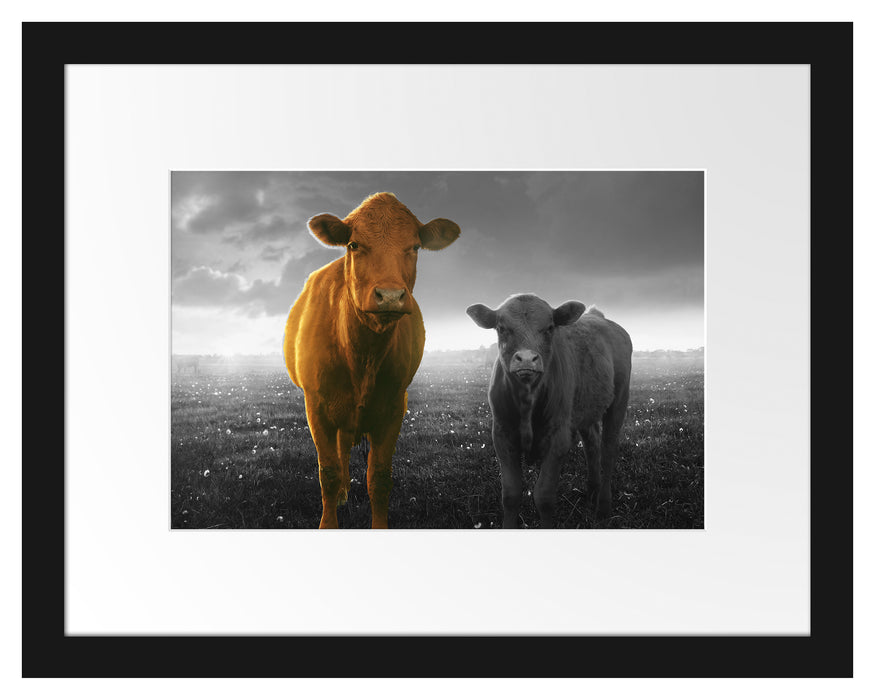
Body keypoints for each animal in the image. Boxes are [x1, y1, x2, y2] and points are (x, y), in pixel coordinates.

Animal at [283, 192, 460, 528]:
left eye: (415, 246)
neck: (362, 356)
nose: (390, 296)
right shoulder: (316, 406)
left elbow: (379, 477)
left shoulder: (394, 406)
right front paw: (329, 521)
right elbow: (327, 473)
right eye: (354, 244)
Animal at [466, 294, 632, 527]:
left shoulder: (558, 439)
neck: (527, 401)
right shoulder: (502, 435)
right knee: (592, 443)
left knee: (608, 450)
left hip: (619, 399)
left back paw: (603, 507)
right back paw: (592, 490)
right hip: (585, 408)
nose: (527, 359)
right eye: (501, 327)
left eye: (550, 327)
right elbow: (510, 494)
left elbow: (544, 497)